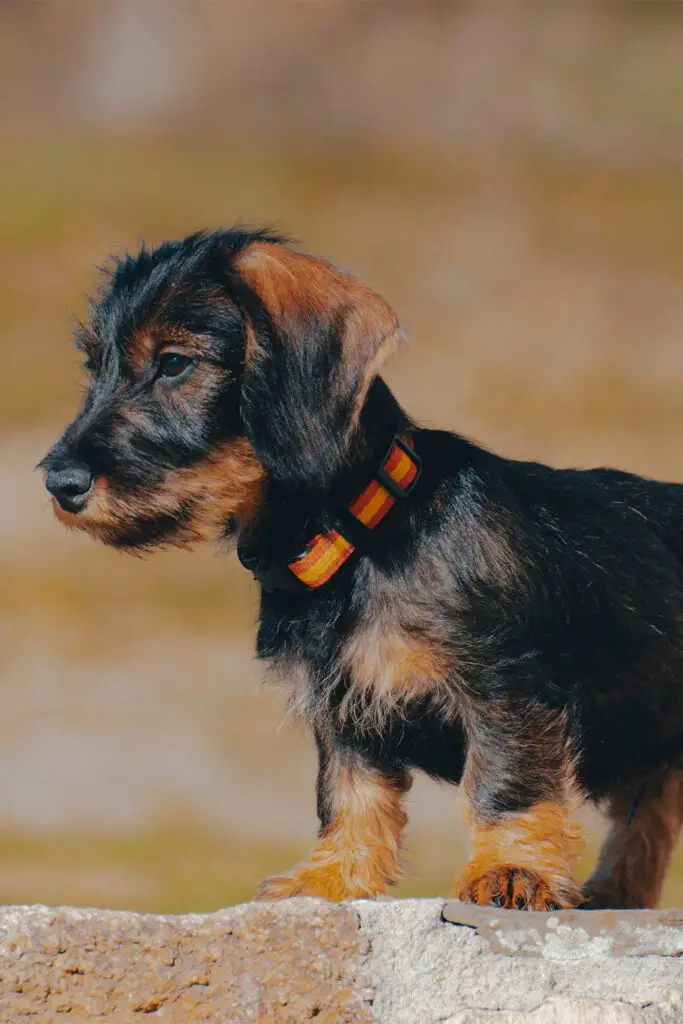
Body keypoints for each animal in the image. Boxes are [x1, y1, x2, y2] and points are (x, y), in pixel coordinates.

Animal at [40, 228, 683, 909]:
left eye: (173, 363)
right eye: (95, 367)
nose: (60, 483)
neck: (361, 536)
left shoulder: (504, 689)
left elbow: (505, 784)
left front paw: (510, 870)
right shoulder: (343, 707)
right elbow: (350, 795)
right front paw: (331, 876)